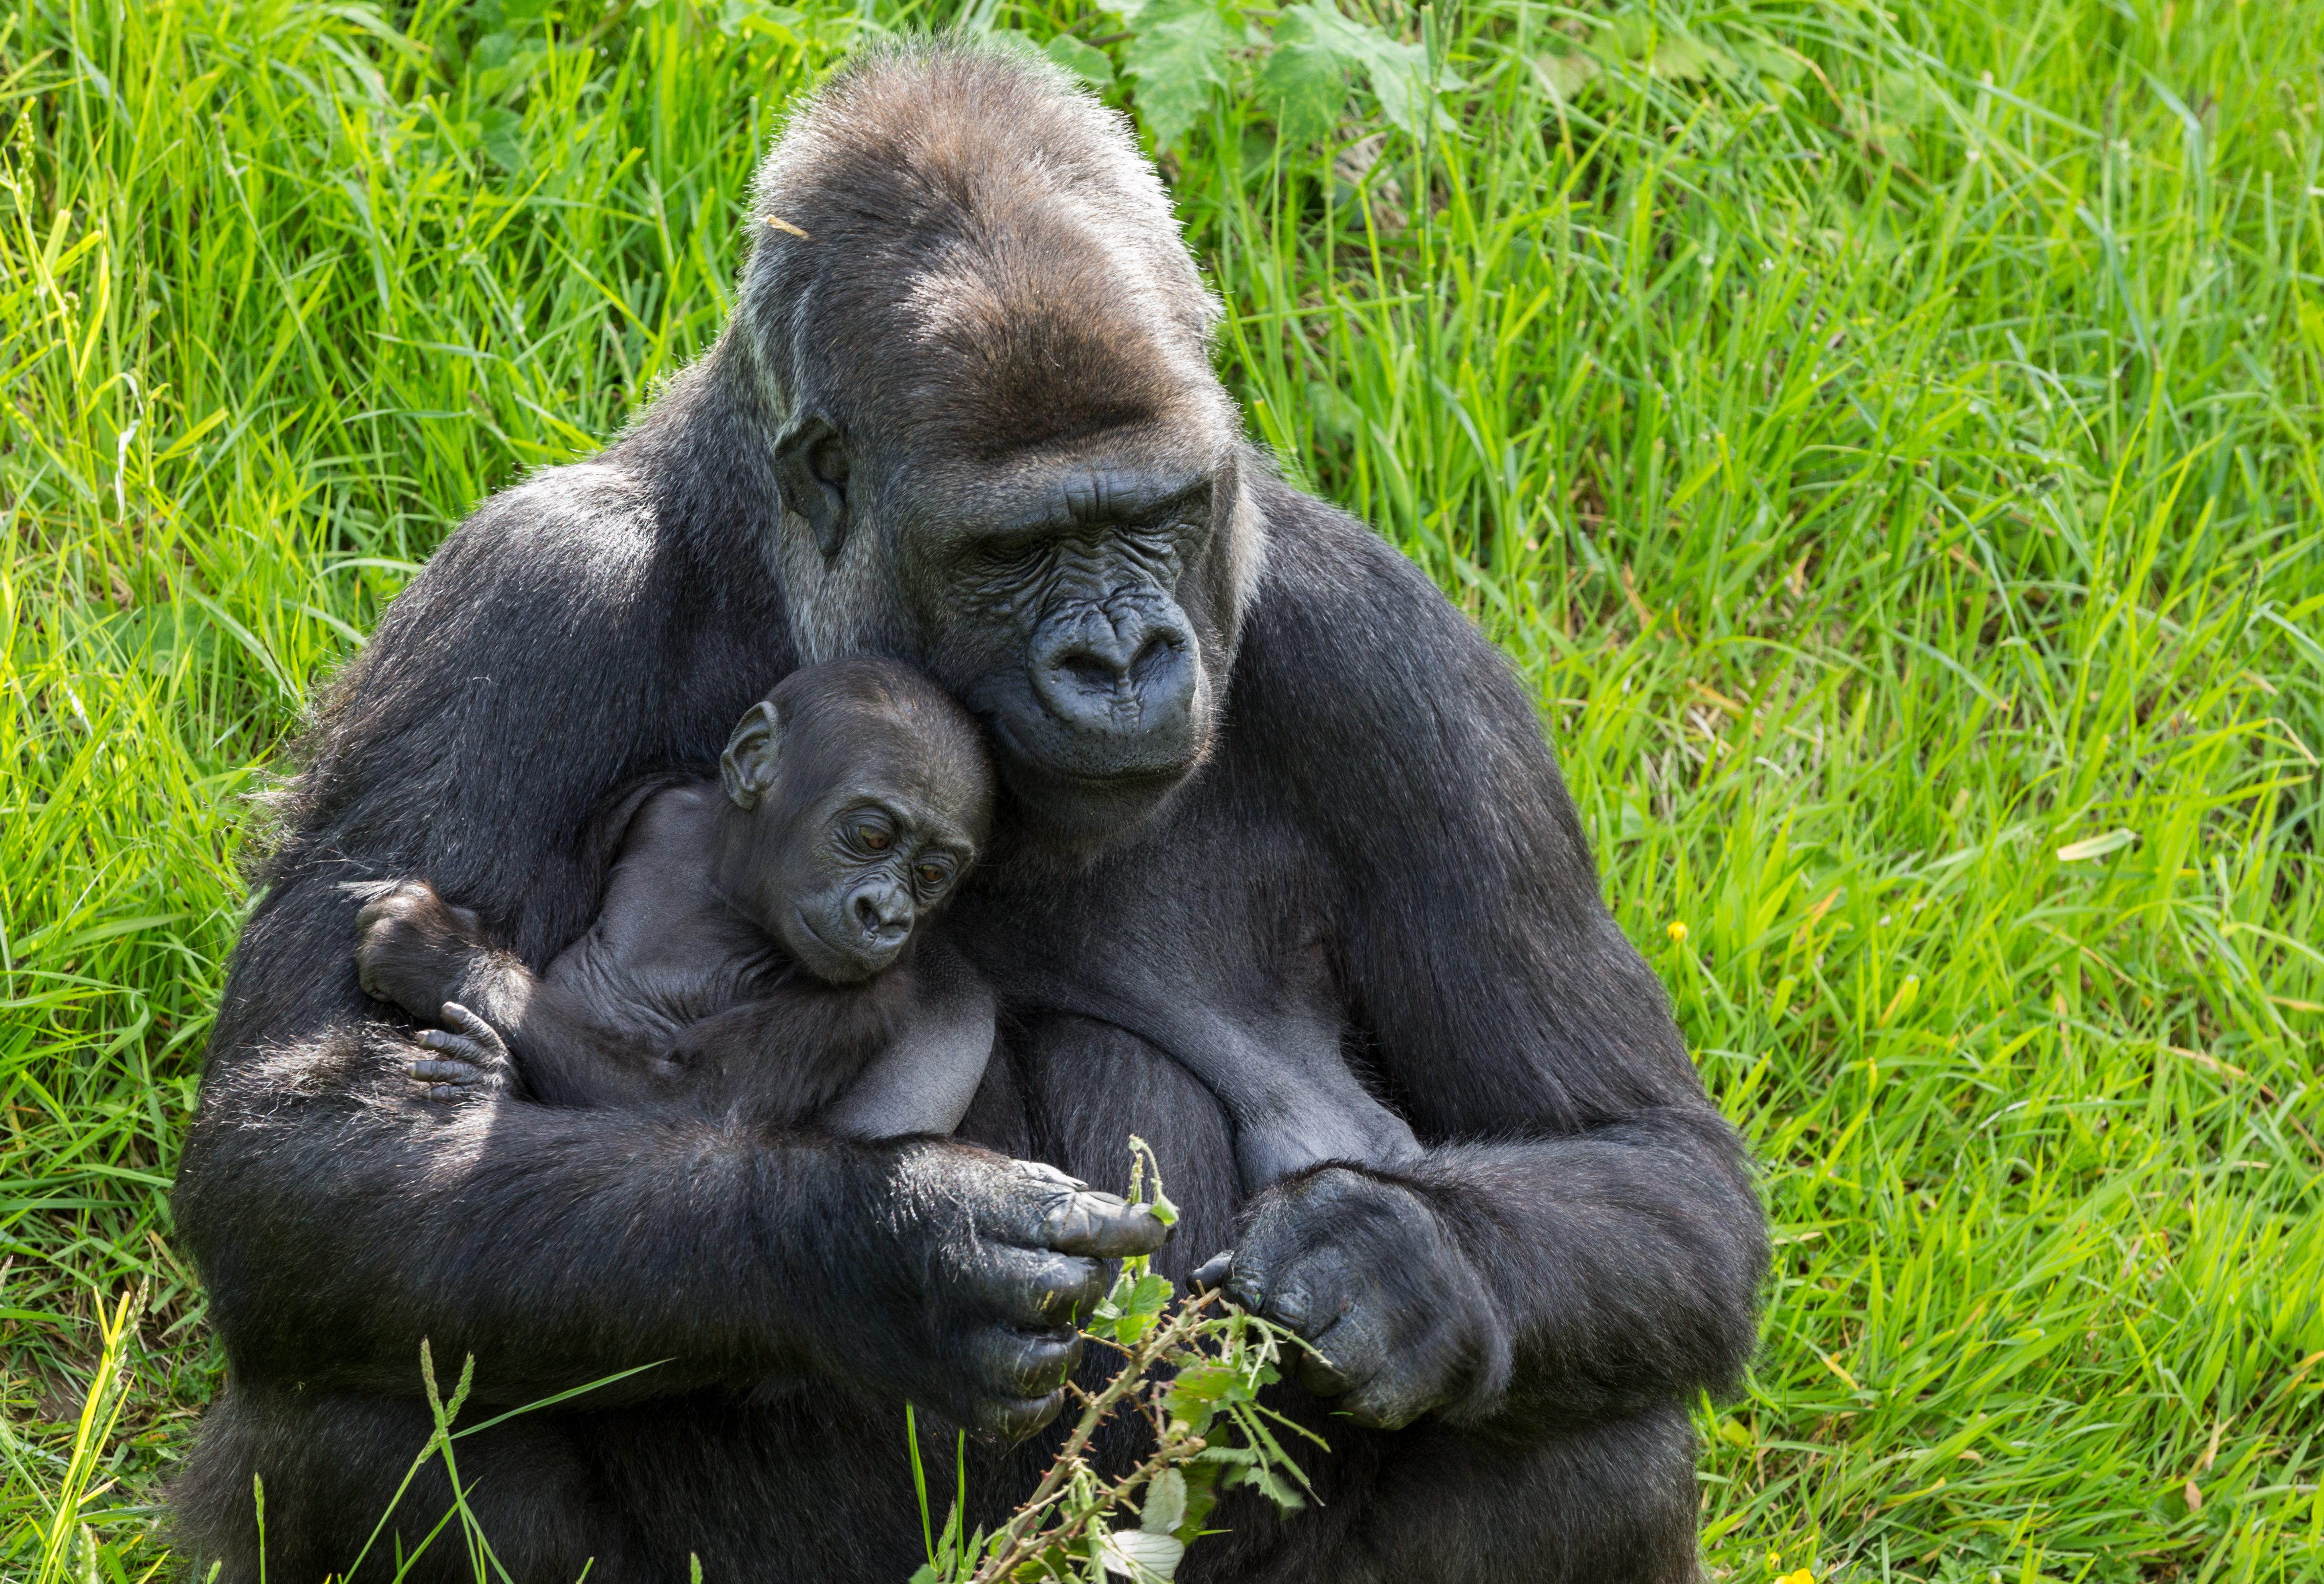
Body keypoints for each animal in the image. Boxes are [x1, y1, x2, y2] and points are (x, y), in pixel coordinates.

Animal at [355, 655, 999, 1133]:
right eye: (872, 836)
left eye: (932, 874)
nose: (887, 916)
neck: (725, 886)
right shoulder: (648, 800)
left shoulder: (870, 993)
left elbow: (686, 1103)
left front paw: (443, 954)